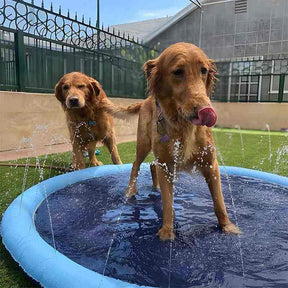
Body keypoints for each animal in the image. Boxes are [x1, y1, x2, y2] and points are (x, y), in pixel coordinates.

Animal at [106, 42, 241, 241]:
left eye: (203, 70)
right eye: (178, 72)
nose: (206, 109)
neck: (183, 126)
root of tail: (145, 100)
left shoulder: (210, 163)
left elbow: (219, 201)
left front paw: (228, 226)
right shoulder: (166, 165)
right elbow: (168, 203)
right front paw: (167, 233)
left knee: (151, 165)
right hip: (143, 143)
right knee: (136, 165)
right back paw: (130, 192)